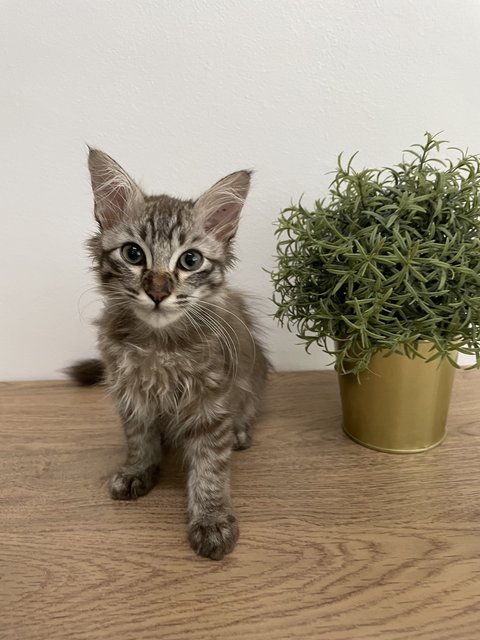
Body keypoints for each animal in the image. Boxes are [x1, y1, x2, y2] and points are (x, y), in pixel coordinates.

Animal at [68, 150, 270, 560]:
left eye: (190, 261)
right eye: (133, 254)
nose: (158, 292)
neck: (158, 344)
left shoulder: (212, 403)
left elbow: (209, 467)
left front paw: (211, 519)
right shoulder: (129, 394)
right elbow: (139, 439)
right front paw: (138, 470)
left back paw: (241, 432)